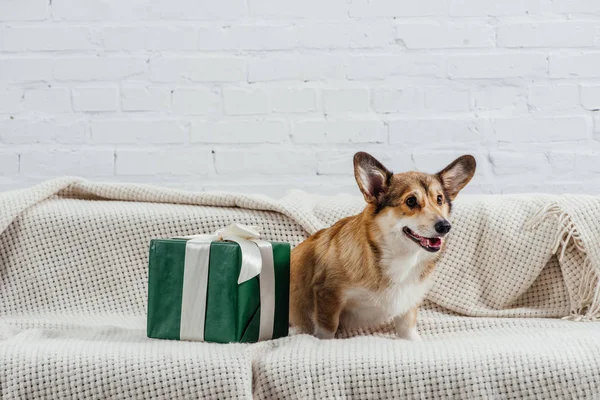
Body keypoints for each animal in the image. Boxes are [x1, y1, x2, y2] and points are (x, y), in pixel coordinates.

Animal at [288, 152, 476, 340]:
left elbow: (408, 331)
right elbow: (327, 331)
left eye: (439, 199)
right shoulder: (328, 295)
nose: (445, 226)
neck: (401, 258)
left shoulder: (407, 306)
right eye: (411, 201)